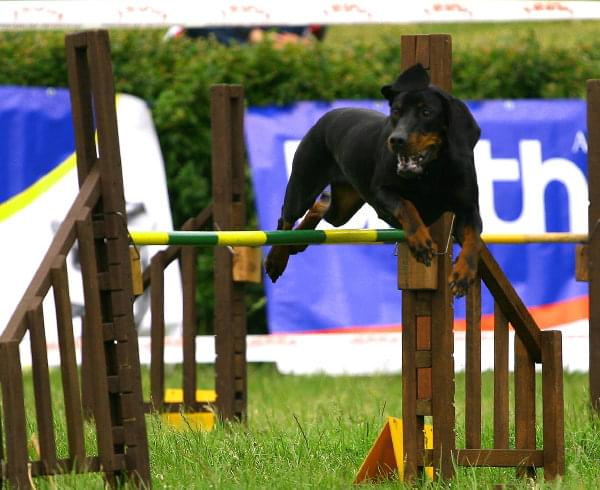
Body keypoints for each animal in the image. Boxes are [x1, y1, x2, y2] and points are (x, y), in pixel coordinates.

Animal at [264, 63, 480, 296]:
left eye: (426, 112)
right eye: (396, 111)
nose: (396, 140)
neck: (431, 170)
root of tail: (329, 115)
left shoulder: (468, 209)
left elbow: (473, 239)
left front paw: (463, 274)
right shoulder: (382, 194)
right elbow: (406, 206)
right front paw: (421, 242)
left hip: (343, 207)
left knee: (324, 206)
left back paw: (298, 242)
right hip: (304, 182)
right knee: (286, 220)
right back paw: (276, 260)